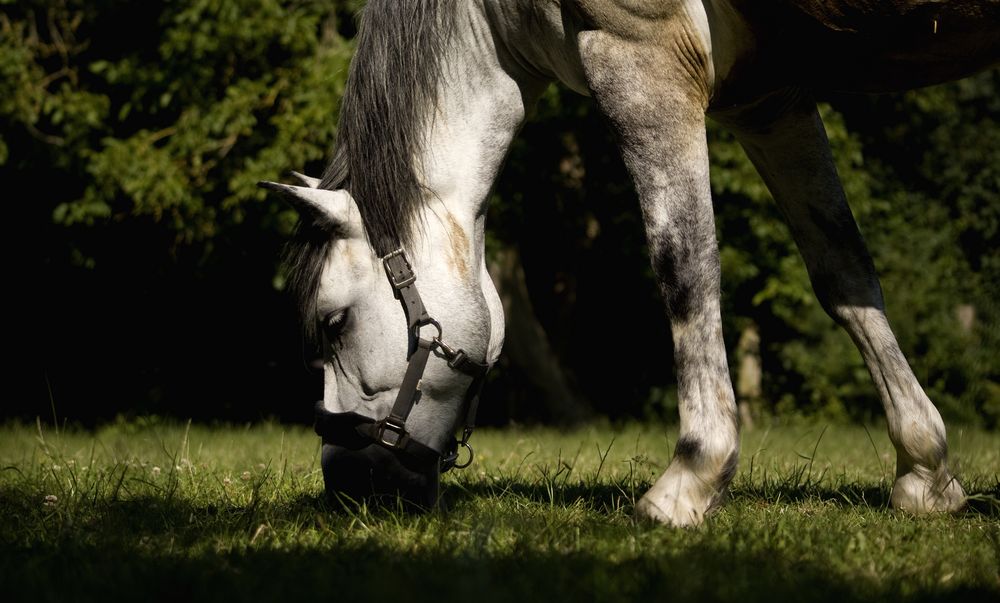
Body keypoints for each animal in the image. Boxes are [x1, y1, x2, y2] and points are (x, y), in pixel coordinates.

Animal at [262, 1, 996, 528]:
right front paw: (924, 468)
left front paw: (691, 476)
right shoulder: (770, 97)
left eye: (333, 322)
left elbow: (685, 270)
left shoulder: (642, 55)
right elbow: (844, 275)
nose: (345, 485)